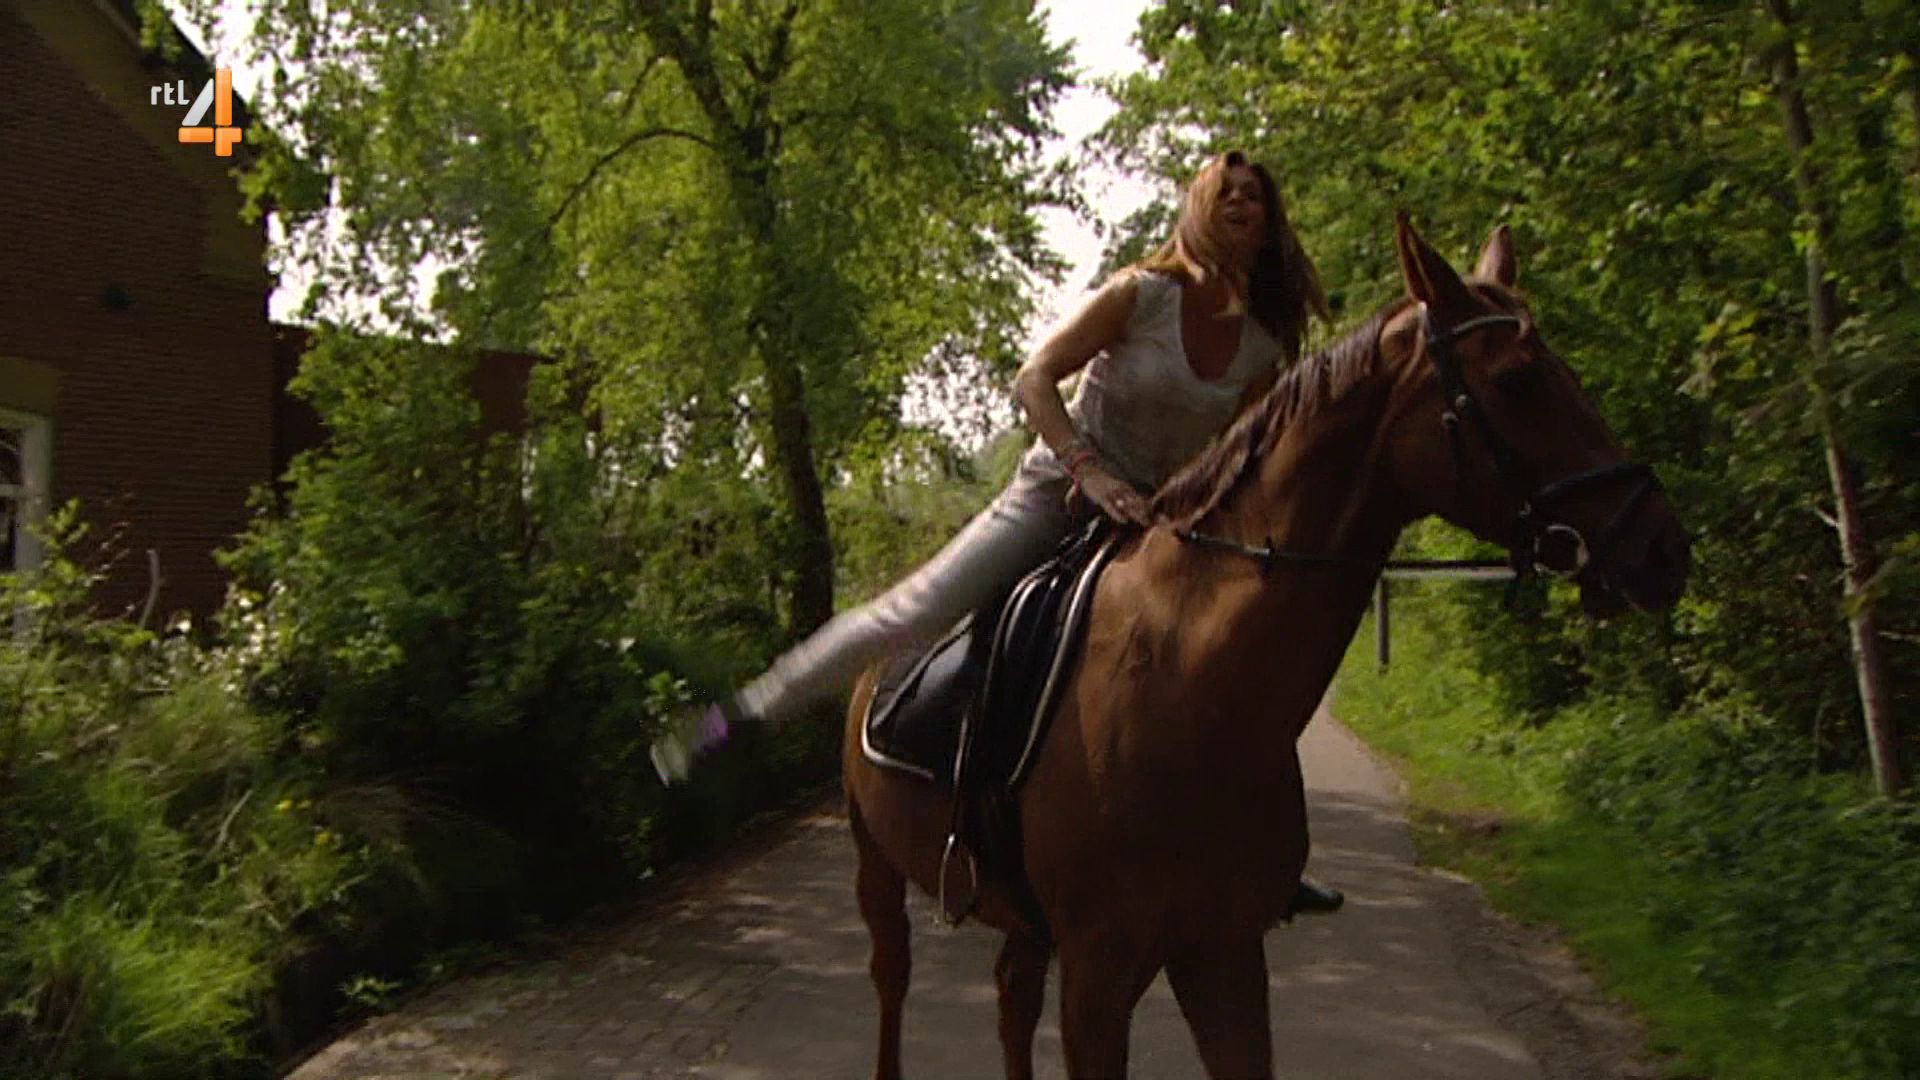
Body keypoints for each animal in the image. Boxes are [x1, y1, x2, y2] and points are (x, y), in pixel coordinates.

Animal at [840, 215, 1691, 1080]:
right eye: (1518, 379)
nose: (1663, 546)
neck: (1191, 685)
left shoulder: (1224, 950)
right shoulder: (1099, 976)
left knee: (1012, 996)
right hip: (878, 866)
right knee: (891, 979)